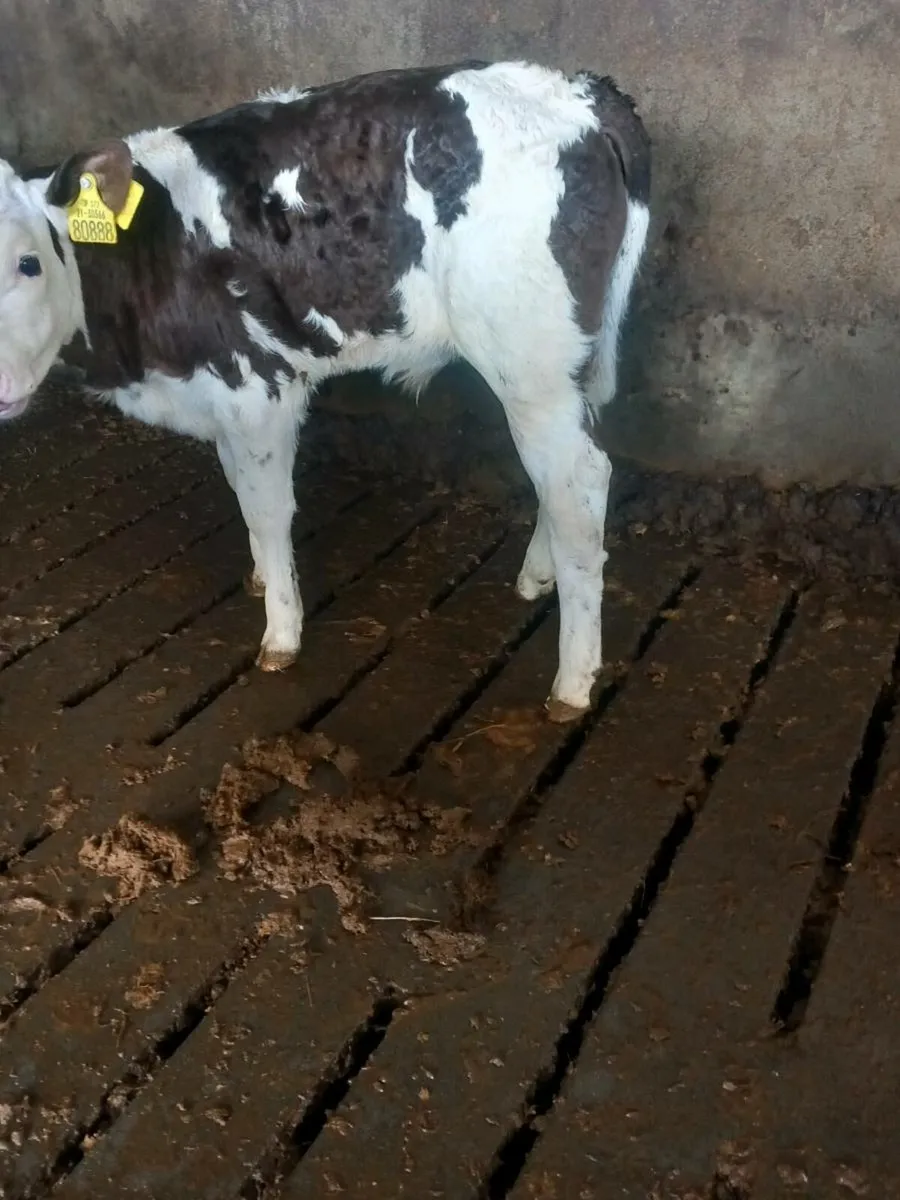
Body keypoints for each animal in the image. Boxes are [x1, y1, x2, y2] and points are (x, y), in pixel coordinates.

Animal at [0, 60, 650, 721]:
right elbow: (238, 482)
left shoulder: (259, 385)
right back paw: (537, 576)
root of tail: (576, 90)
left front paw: (281, 635)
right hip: (567, 366)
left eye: (30, 262)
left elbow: (265, 507)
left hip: (530, 361)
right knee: (564, 477)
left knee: (581, 486)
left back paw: (571, 683)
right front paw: (264, 578)